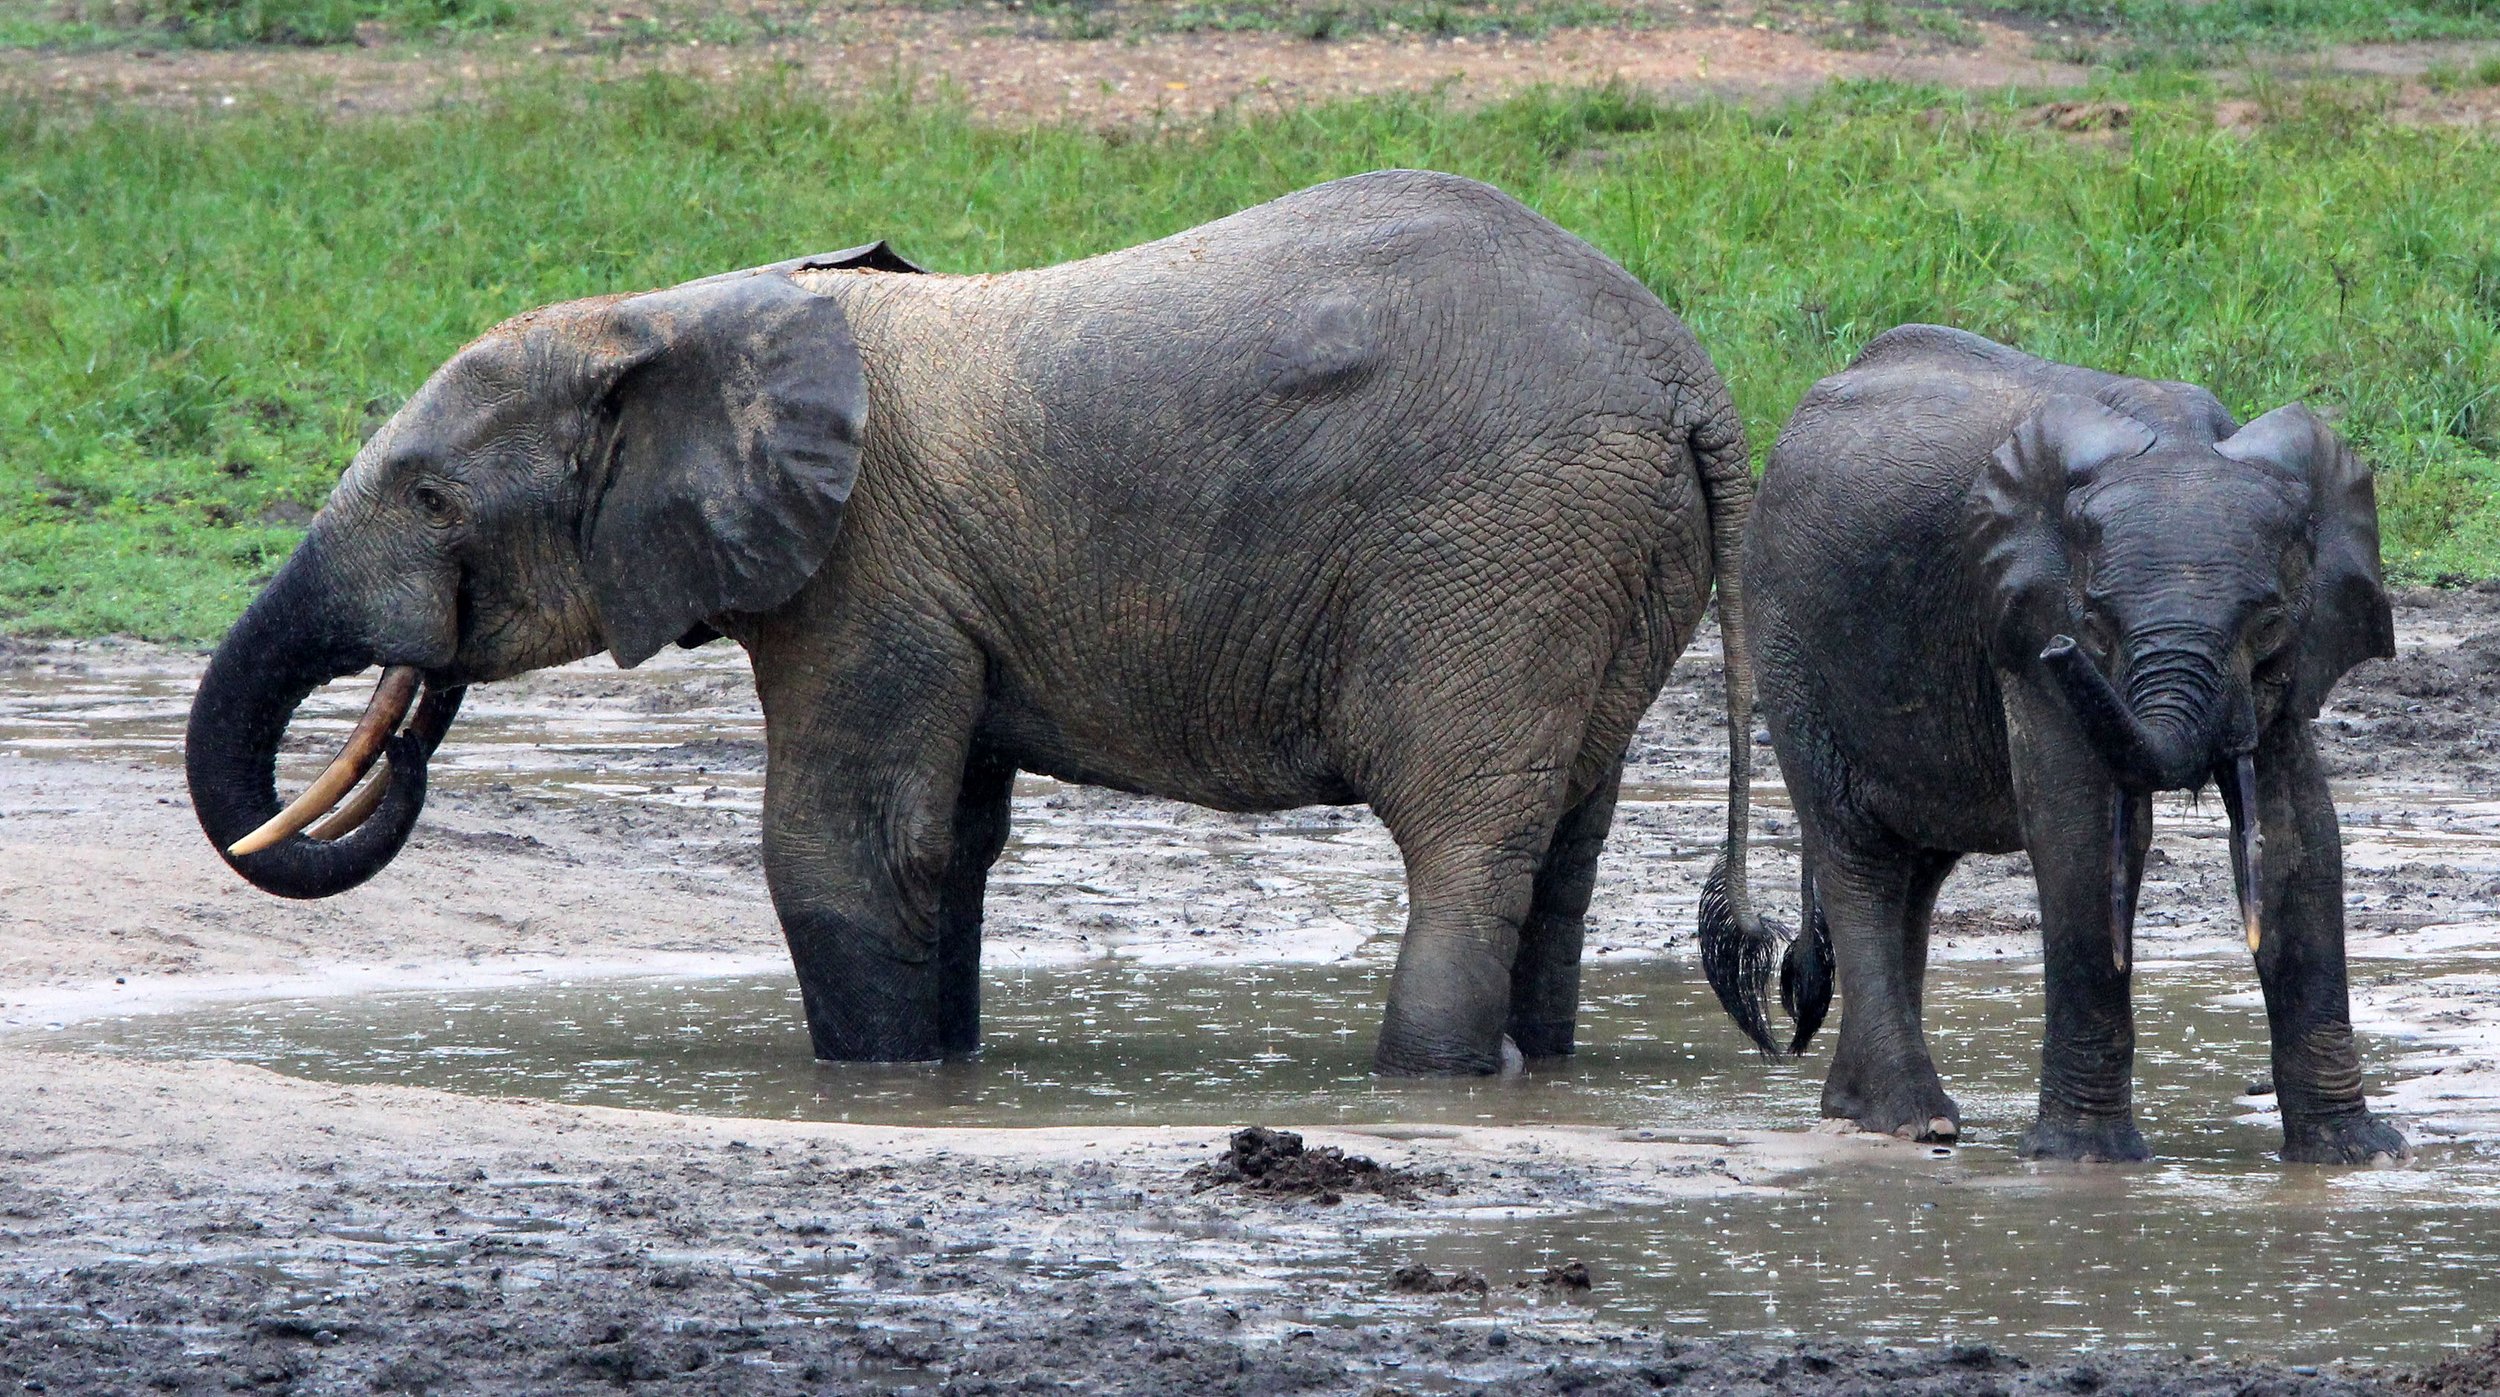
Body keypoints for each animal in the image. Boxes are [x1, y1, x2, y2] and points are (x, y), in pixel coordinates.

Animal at [185, 169, 1771, 1078]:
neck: (685, 314)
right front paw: (943, 1071)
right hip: (1599, 568)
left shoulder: (866, 571)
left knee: (1465, 837)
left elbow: (840, 842)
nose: (410, 713)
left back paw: (1422, 1082)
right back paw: (1530, 1074)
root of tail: (1685, 378)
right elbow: (946, 840)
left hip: (1498, 558)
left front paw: (876, 1088)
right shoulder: (938, 589)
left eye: (431, 494)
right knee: (1563, 844)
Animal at [1701, 323, 2408, 1164]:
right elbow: (2081, 833)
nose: (2066, 651)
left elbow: (2301, 835)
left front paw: (2361, 1155)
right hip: (1786, 633)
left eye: (2266, 621)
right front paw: (2086, 1162)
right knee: (1860, 857)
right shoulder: (2021, 628)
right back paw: (1911, 1120)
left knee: (1914, 870)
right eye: (2093, 624)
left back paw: (1867, 1112)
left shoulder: (2289, 668)